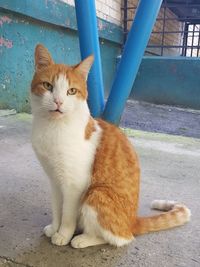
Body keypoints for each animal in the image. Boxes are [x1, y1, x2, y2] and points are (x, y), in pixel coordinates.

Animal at [30, 44, 191, 249]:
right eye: (48, 86)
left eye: (71, 91)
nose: (58, 101)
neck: (52, 128)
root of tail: (132, 221)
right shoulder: (55, 180)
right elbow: (57, 208)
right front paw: (53, 228)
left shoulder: (74, 184)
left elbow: (67, 215)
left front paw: (63, 234)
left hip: (96, 194)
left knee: (120, 238)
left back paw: (83, 239)